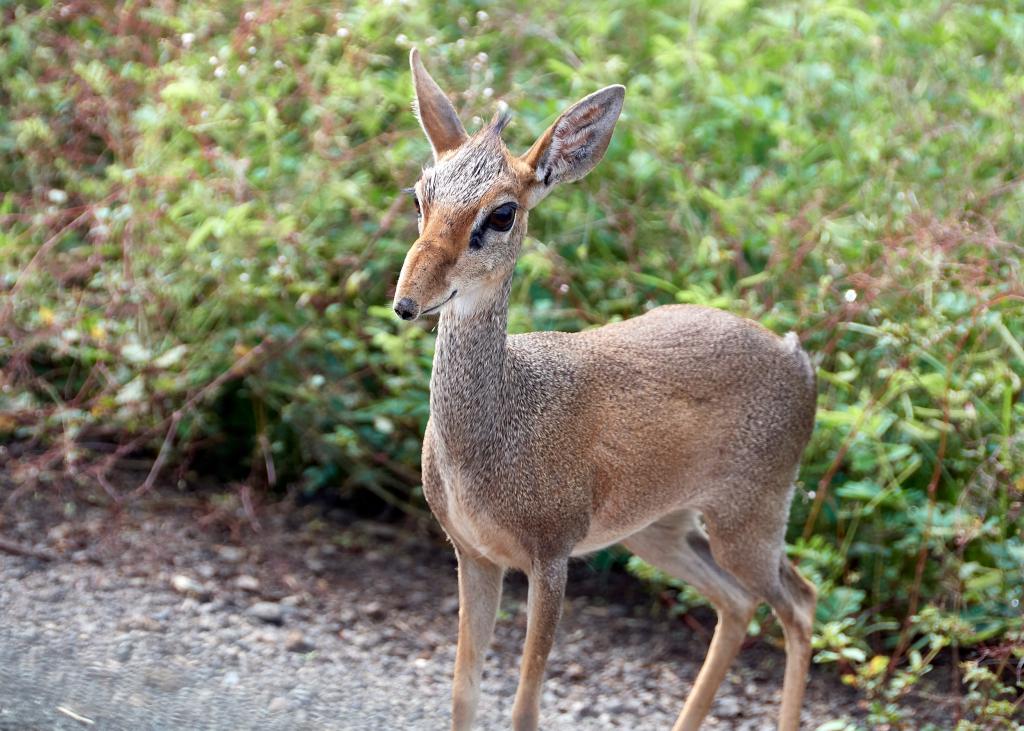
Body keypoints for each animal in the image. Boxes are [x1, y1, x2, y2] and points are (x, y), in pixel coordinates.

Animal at [391, 48, 815, 724]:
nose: (408, 302)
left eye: (503, 213)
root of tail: (799, 358)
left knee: (799, 604)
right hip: (660, 530)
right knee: (739, 603)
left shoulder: (552, 555)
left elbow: (525, 704)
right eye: (418, 195)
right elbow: (463, 690)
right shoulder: (472, 553)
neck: (494, 434)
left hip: (751, 517)